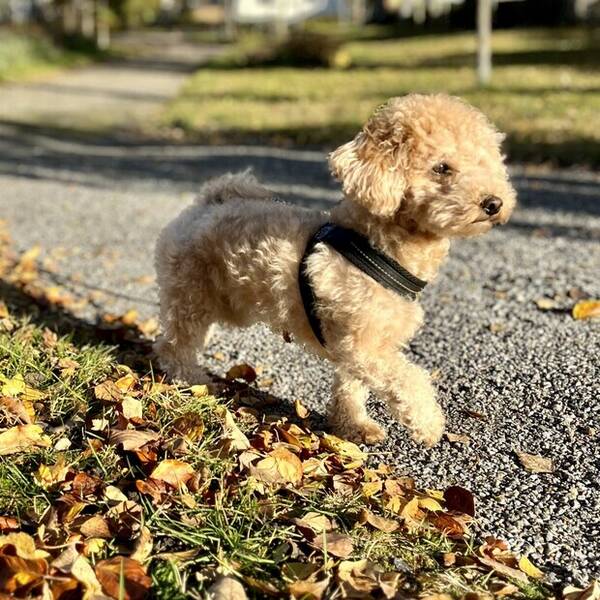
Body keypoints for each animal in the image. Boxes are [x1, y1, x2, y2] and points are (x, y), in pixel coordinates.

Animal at [155, 94, 516, 446]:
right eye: (442, 168)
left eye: (484, 162)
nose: (494, 203)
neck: (377, 247)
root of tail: (207, 202)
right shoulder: (363, 346)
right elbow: (408, 376)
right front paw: (428, 422)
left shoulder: (355, 345)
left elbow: (351, 386)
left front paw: (354, 426)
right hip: (190, 295)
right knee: (174, 345)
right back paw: (192, 380)